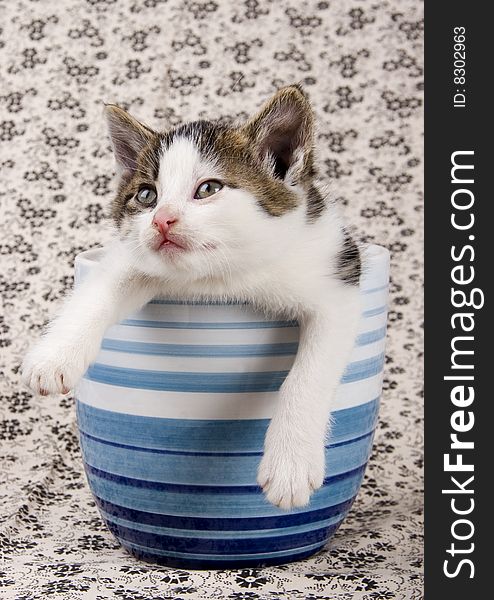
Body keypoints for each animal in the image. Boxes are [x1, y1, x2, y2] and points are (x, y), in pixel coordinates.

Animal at [22, 85, 358, 510]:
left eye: (209, 189)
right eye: (146, 195)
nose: (161, 220)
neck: (222, 278)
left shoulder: (336, 276)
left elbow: (309, 373)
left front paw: (290, 464)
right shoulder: (135, 254)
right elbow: (101, 288)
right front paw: (55, 356)